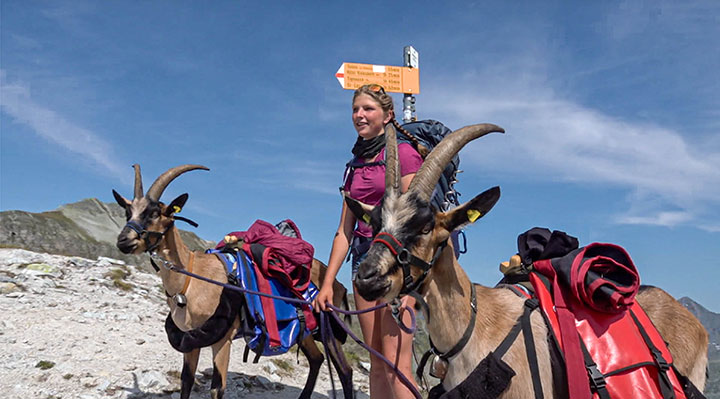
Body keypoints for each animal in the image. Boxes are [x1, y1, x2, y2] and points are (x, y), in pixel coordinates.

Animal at [112, 165, 354, 399]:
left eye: (154, 213)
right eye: (128, 212)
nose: (123, 241)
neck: (191, 279)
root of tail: (337, 284)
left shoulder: (223, 340)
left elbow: (217, 388)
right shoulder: (190, 340)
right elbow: (186, 382)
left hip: (327, 327)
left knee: (345, 370)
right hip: (303, 330)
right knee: (316, 359)